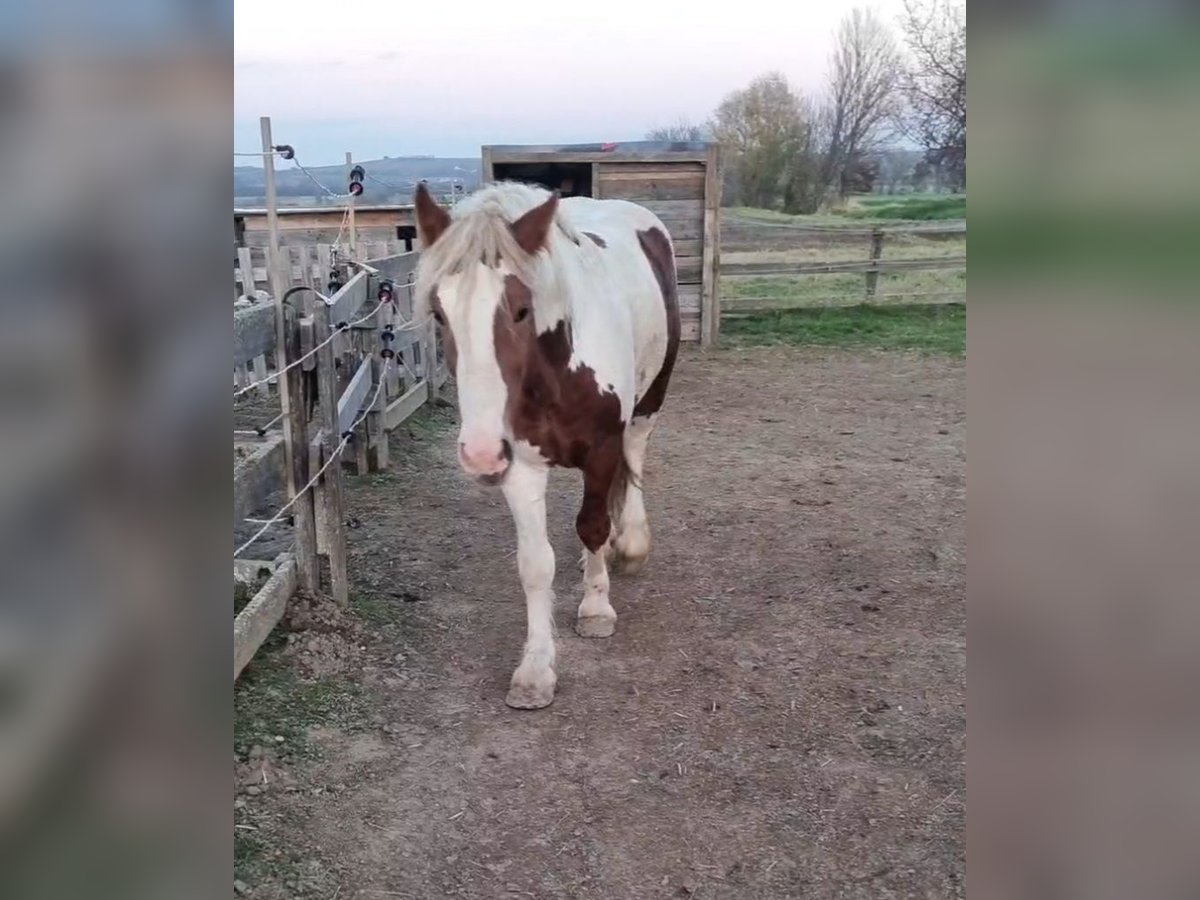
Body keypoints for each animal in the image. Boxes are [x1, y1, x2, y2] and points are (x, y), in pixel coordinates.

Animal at [413, 180, 681, 709]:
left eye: (521, 309)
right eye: (439, 313)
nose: (478, 453)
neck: (559, 366)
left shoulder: (602, 449)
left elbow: (592, 525)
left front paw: (596, 607)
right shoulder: (518, 465)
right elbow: (536, 565)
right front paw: (535, 669)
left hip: (649, 401)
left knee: (636, 455)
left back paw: (630, 543)